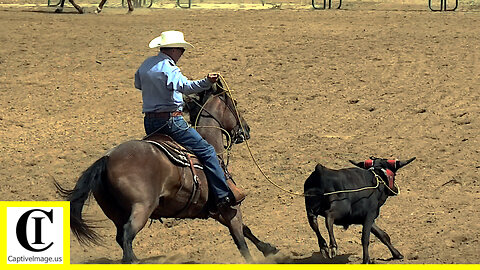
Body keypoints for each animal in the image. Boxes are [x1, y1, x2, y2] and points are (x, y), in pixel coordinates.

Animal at [54, 83, 278, 264]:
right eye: (235, 103)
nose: (246, 130)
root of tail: (107, 159)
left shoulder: (216, 212)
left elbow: (246, 230)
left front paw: (269, 249)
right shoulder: (230, 206)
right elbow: (241, 241)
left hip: (116, 213)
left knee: (121, 238)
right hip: (142, 208)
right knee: (127, 236)